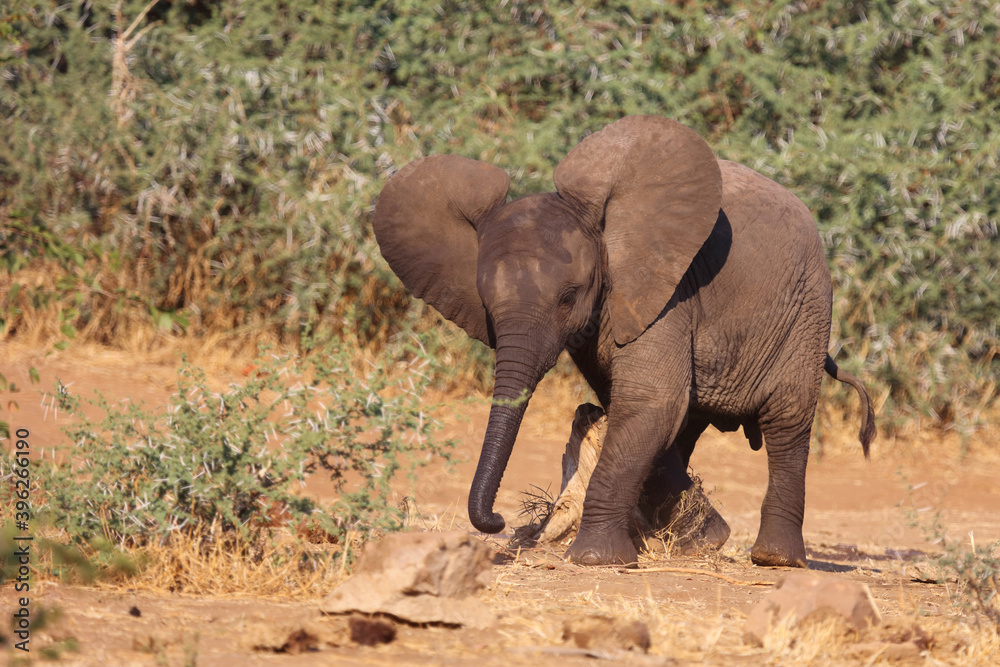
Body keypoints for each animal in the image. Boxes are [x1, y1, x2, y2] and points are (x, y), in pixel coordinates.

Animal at [370, 116, 876, 568]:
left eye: (569, 297)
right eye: (487, 307)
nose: (496, 520)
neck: (605, 230)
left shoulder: (667, 293)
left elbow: (650, 400)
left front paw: (595, 559)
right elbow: (636, 408)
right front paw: (697, 539)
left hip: (807, 309)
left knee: (787, 421)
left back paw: (775, 559)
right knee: (688, 425)